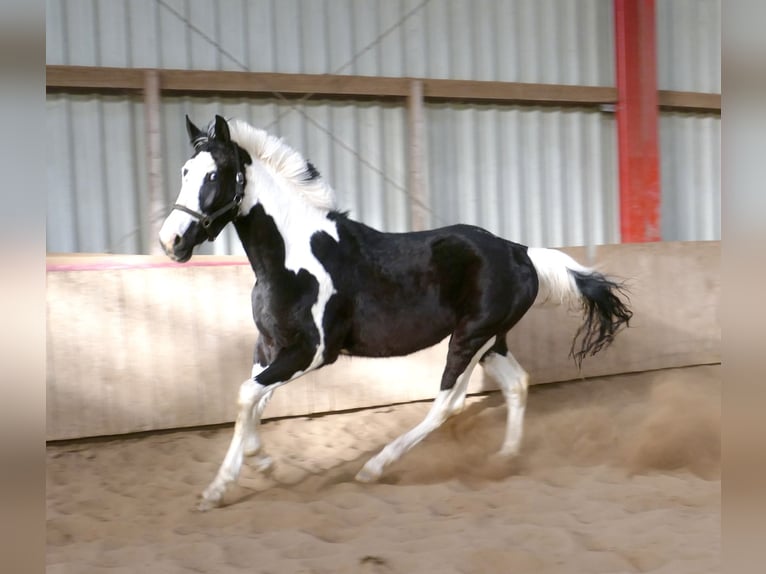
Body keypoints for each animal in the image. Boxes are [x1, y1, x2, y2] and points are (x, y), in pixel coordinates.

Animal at [159, 115, 632, 511]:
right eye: (184, 172)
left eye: (214, 174)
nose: (171, 241)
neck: (292, 258)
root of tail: (521, 251)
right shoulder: (270, 347)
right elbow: (255, 399)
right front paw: (259, 464)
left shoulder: (313, 352)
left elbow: (246, 395)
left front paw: (219, 488)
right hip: (492, 341)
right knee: (517, 384)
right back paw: (505, 460)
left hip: (470, 339)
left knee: (448, 403)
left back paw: (374, 468)